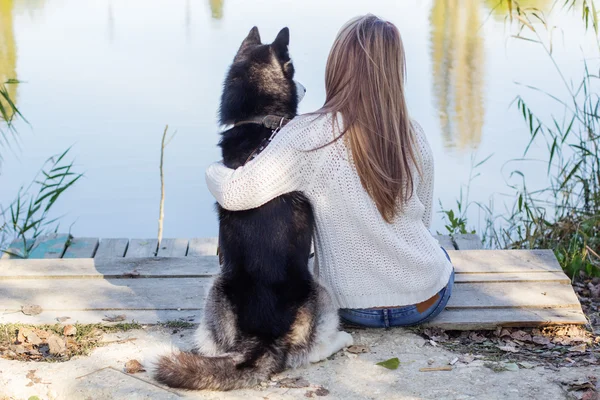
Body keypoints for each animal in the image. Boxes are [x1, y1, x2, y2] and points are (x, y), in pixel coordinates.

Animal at [152, 27, 354, 390]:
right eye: (293, 71)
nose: (307, 87)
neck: (261, 123)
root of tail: (263, 336)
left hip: (218, 288)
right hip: (319, 292)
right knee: (314, 351)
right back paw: (342, 340)